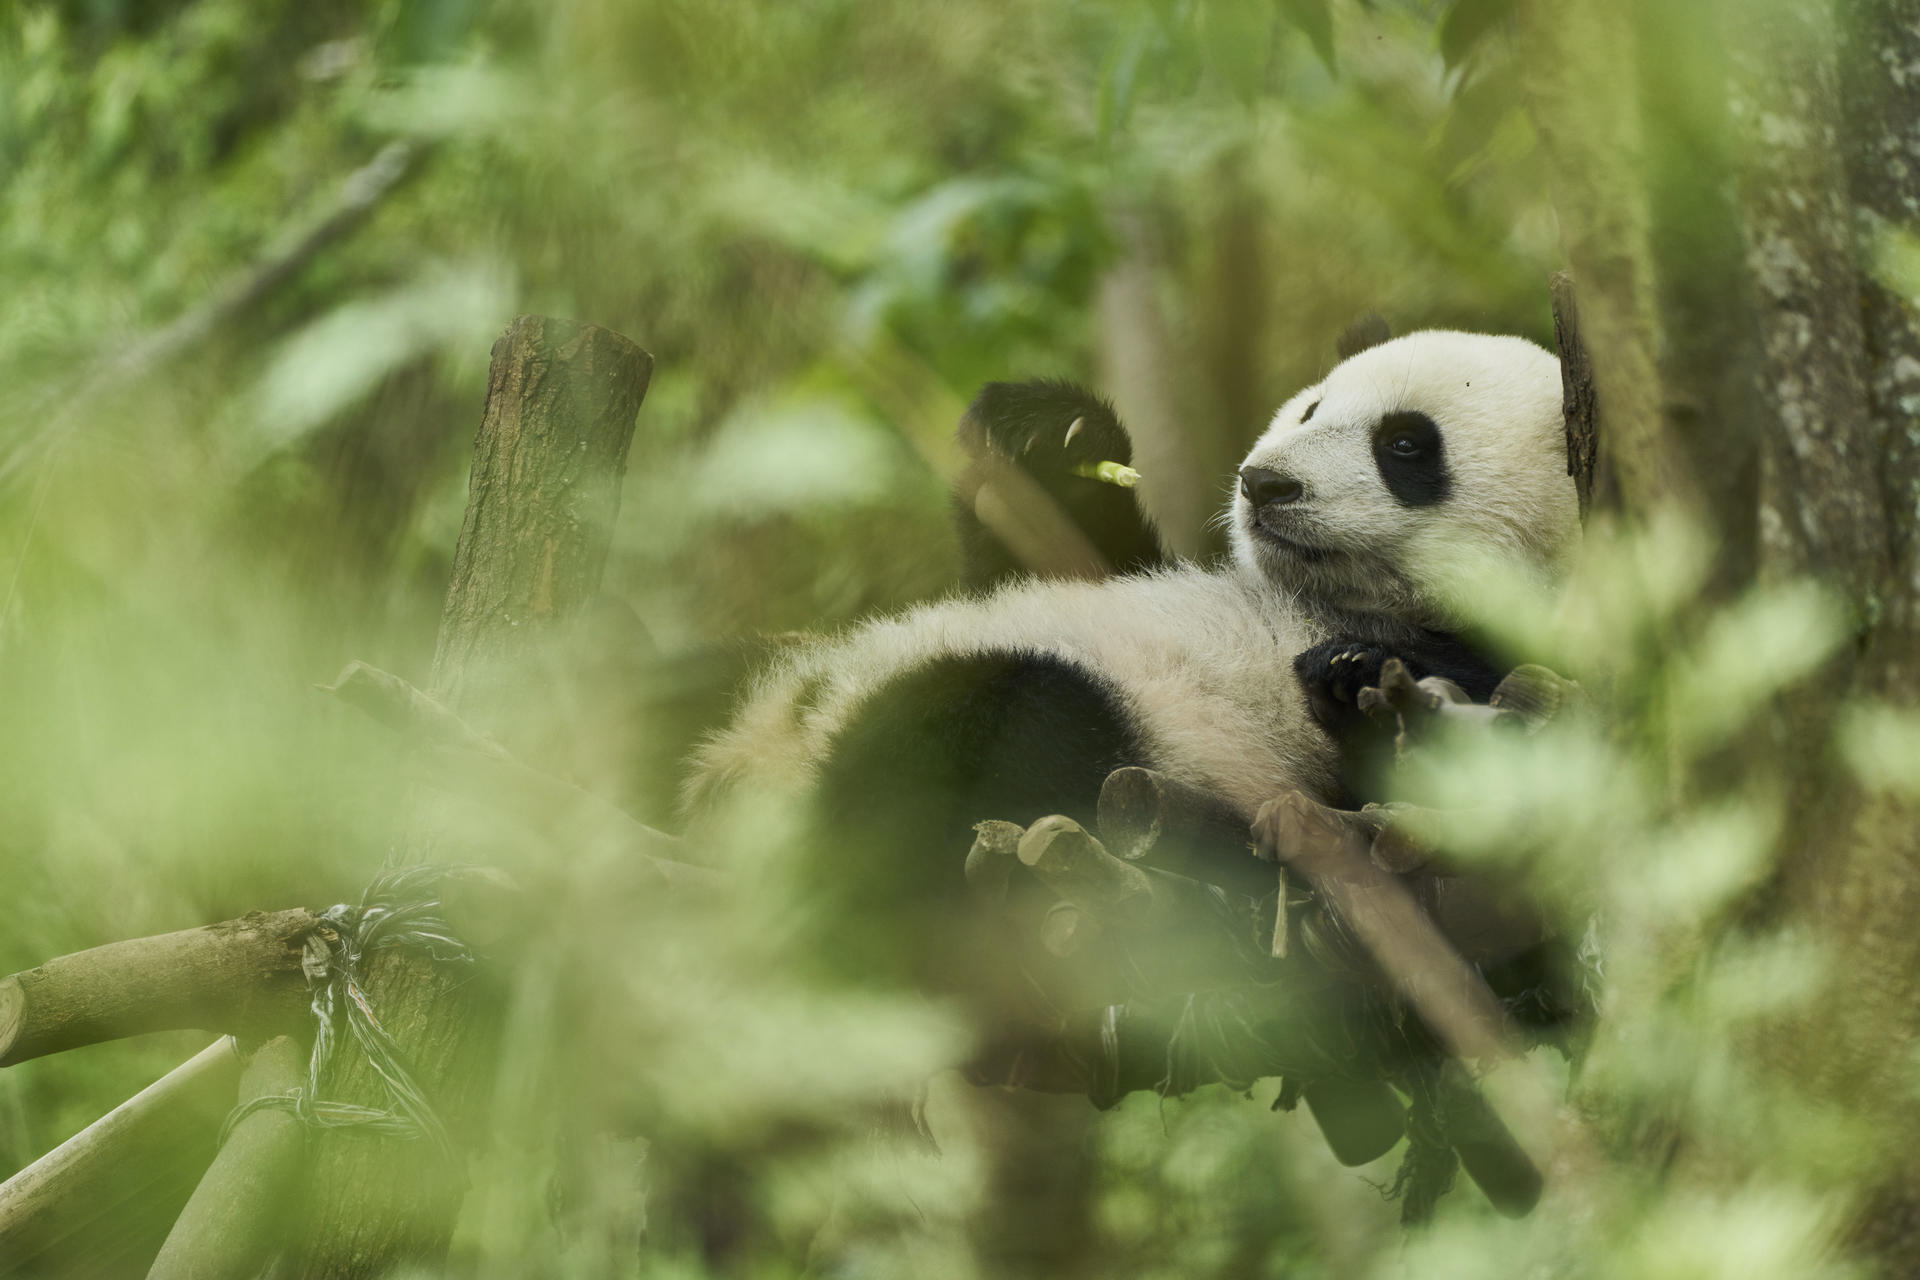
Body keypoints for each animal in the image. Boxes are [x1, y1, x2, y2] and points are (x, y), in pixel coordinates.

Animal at [686, 328, 1578, 996]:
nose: (1265, 483)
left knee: (1003, 721)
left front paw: (1352, 673)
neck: (1335, 600)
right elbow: (1069, 553)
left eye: (1404, 444)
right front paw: (1047, 432)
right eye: (1312, 406)